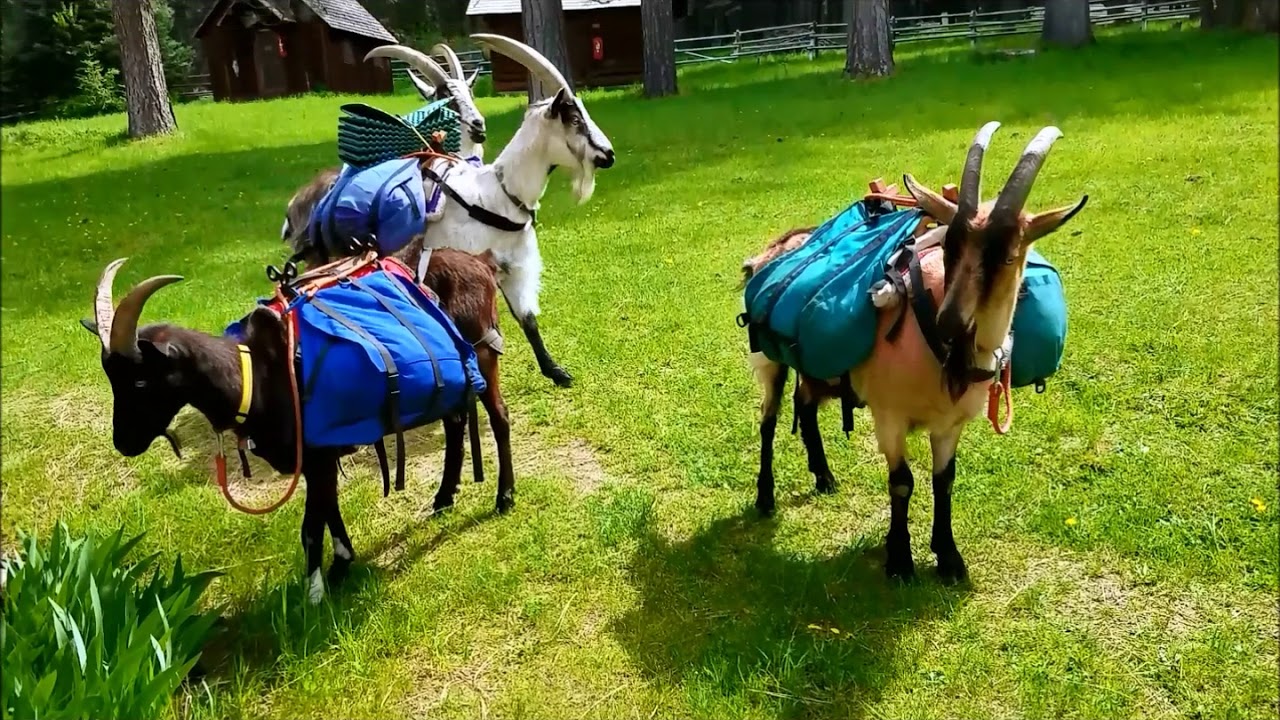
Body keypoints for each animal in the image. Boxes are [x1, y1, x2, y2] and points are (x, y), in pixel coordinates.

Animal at [80, 248, 514, 605]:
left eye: (140, 381)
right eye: (111, 378)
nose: (124, 442)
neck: (256, 374)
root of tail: (481, 262)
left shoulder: (319, 454)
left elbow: (310, 526)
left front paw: (314, 595)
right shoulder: (318, 457)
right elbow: (329, 510)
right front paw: (342, 564)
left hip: (483, 352)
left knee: (499, 417)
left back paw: (504, 497)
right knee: (456, 421)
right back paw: (443, 498)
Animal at [284, 33, 616, 389]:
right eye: (575, 119)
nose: (608, 154)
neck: (497, 196)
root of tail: (300, 200)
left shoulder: (514, 270)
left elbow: (528, 321)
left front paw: (557, 372)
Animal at [741, 122, 1086, 583]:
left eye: (1009, 255)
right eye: (949, 247)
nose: (950, 322)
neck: (942, 354)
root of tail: (775, 248)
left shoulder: (950, 424)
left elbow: (945, 479)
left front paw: (949, 558)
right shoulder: (889, 414)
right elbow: (902, 480)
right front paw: (900, 560)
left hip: (815, 368)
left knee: (805, 403)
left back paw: (825, 477)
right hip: (769, 359)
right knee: (769, 418)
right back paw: (765, 497)